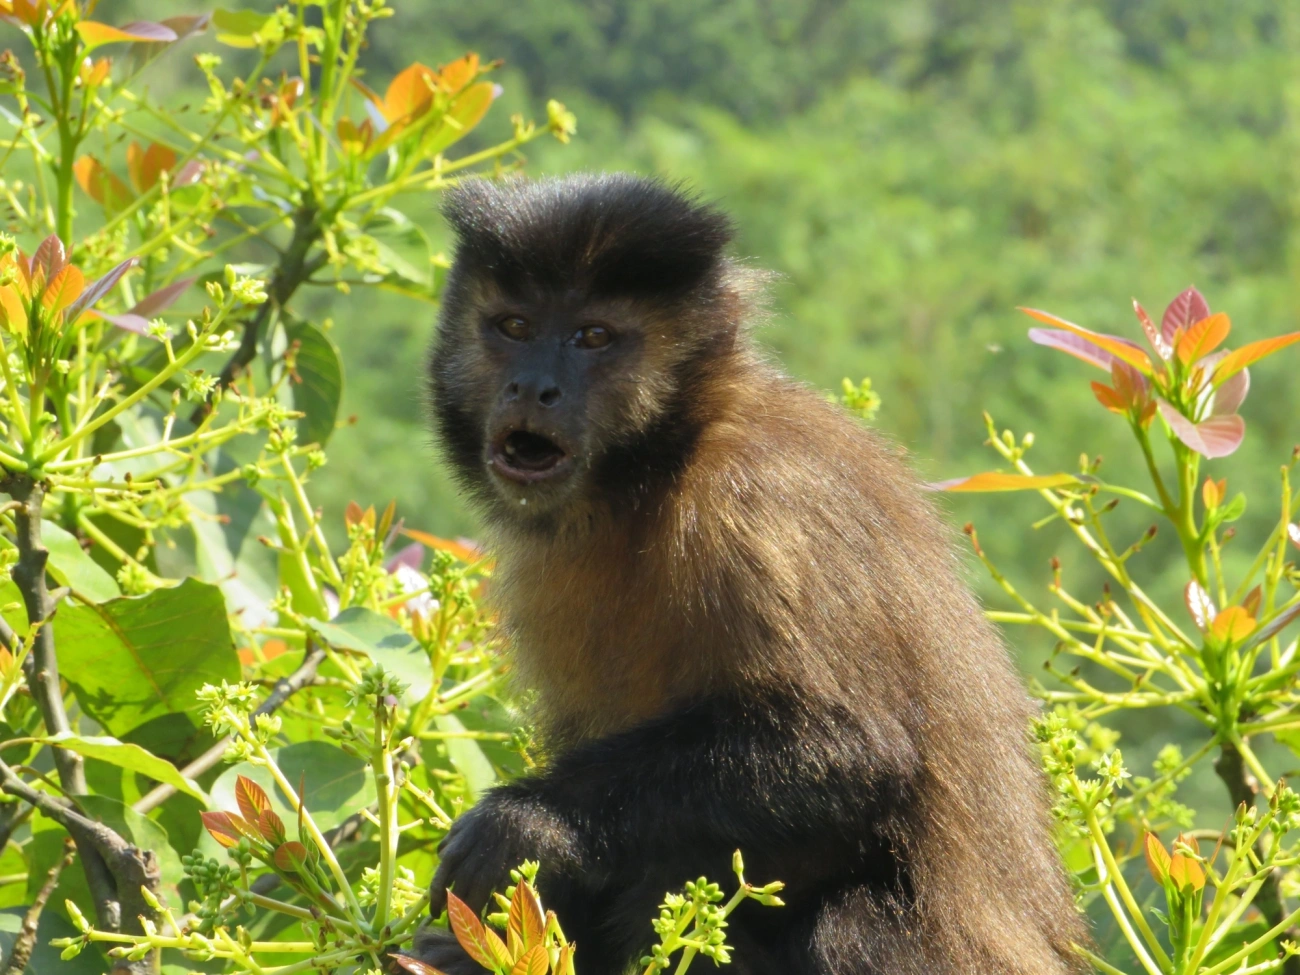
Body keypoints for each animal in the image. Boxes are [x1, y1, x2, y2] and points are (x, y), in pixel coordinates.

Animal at [406, 173, 1086, 974]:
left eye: (592, 338)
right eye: (514, 326)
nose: (533, 386)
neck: (659, 469)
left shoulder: (756, 507)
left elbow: (851, 750)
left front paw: (531, 819)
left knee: (836, 920)